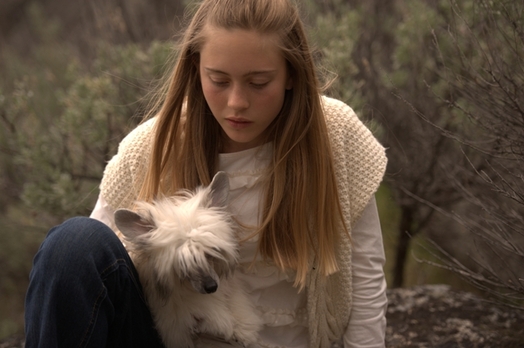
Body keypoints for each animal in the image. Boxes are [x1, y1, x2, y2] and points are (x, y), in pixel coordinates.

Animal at [114, 173, 262, 346]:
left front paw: (243, 328)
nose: (211, 287)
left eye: (210, 253)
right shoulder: (176, 328)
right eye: (182, 264)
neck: (186, 287)